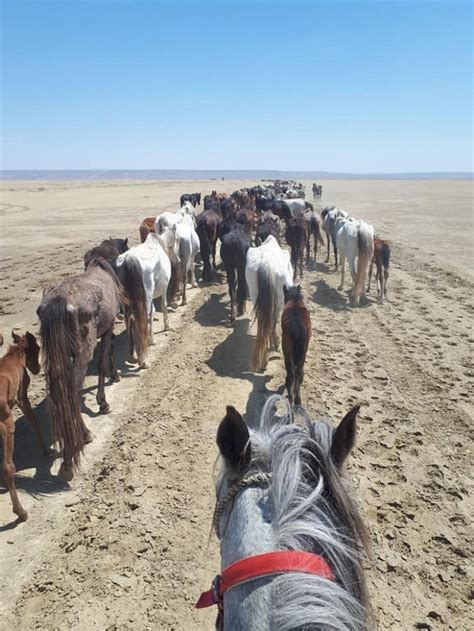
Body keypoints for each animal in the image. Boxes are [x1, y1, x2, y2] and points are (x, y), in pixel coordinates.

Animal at [37, 260, 126, 482]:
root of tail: (59, 301)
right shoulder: (109, 328)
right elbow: (103, 362)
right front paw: (103, 402)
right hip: (84, 350)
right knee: (72, 392)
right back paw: (76, 447)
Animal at [244, 238, 292, 376]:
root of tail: (266, 263)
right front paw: (276, 343)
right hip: (279, 299)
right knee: (271, 321)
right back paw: (267, 358)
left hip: (255, 294)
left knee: (263, 321)